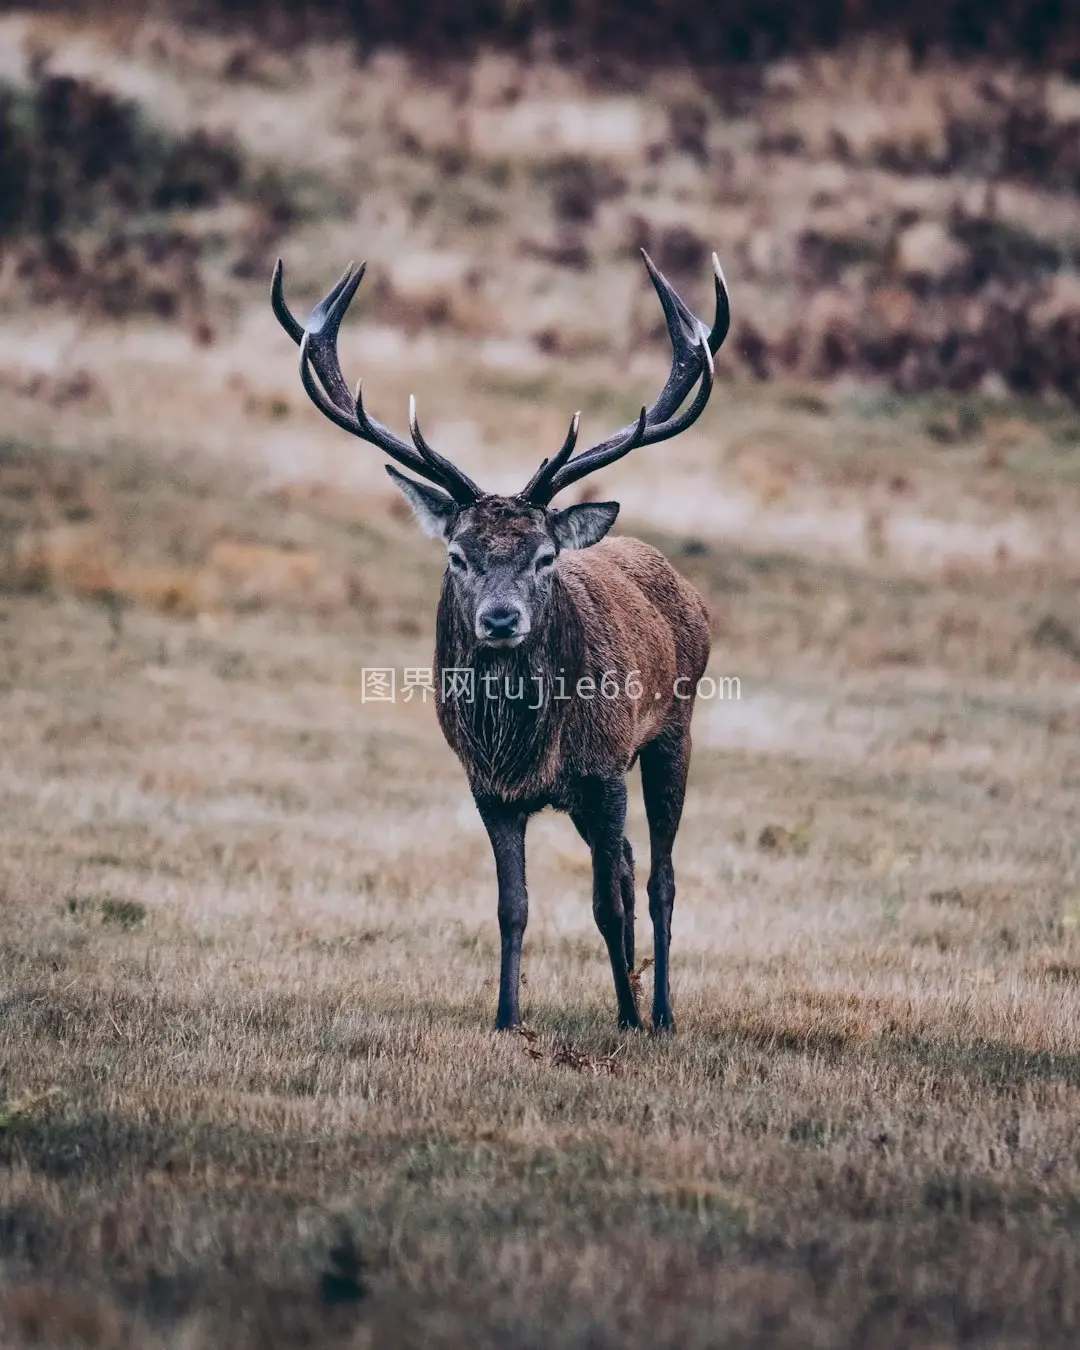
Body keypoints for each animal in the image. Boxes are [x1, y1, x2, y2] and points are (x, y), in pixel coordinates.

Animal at [270, 251, 729, 1031]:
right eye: (458, 553)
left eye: (544, 557)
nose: (501, 619)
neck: (524, 749)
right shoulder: (488, 788)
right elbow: (512, 906)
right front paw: (507, 1017)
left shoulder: (604, 768)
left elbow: (607, 902)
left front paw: (630, 1018)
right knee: (630, 863)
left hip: (674, 729)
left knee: (659, 876)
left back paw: (660, 1012)